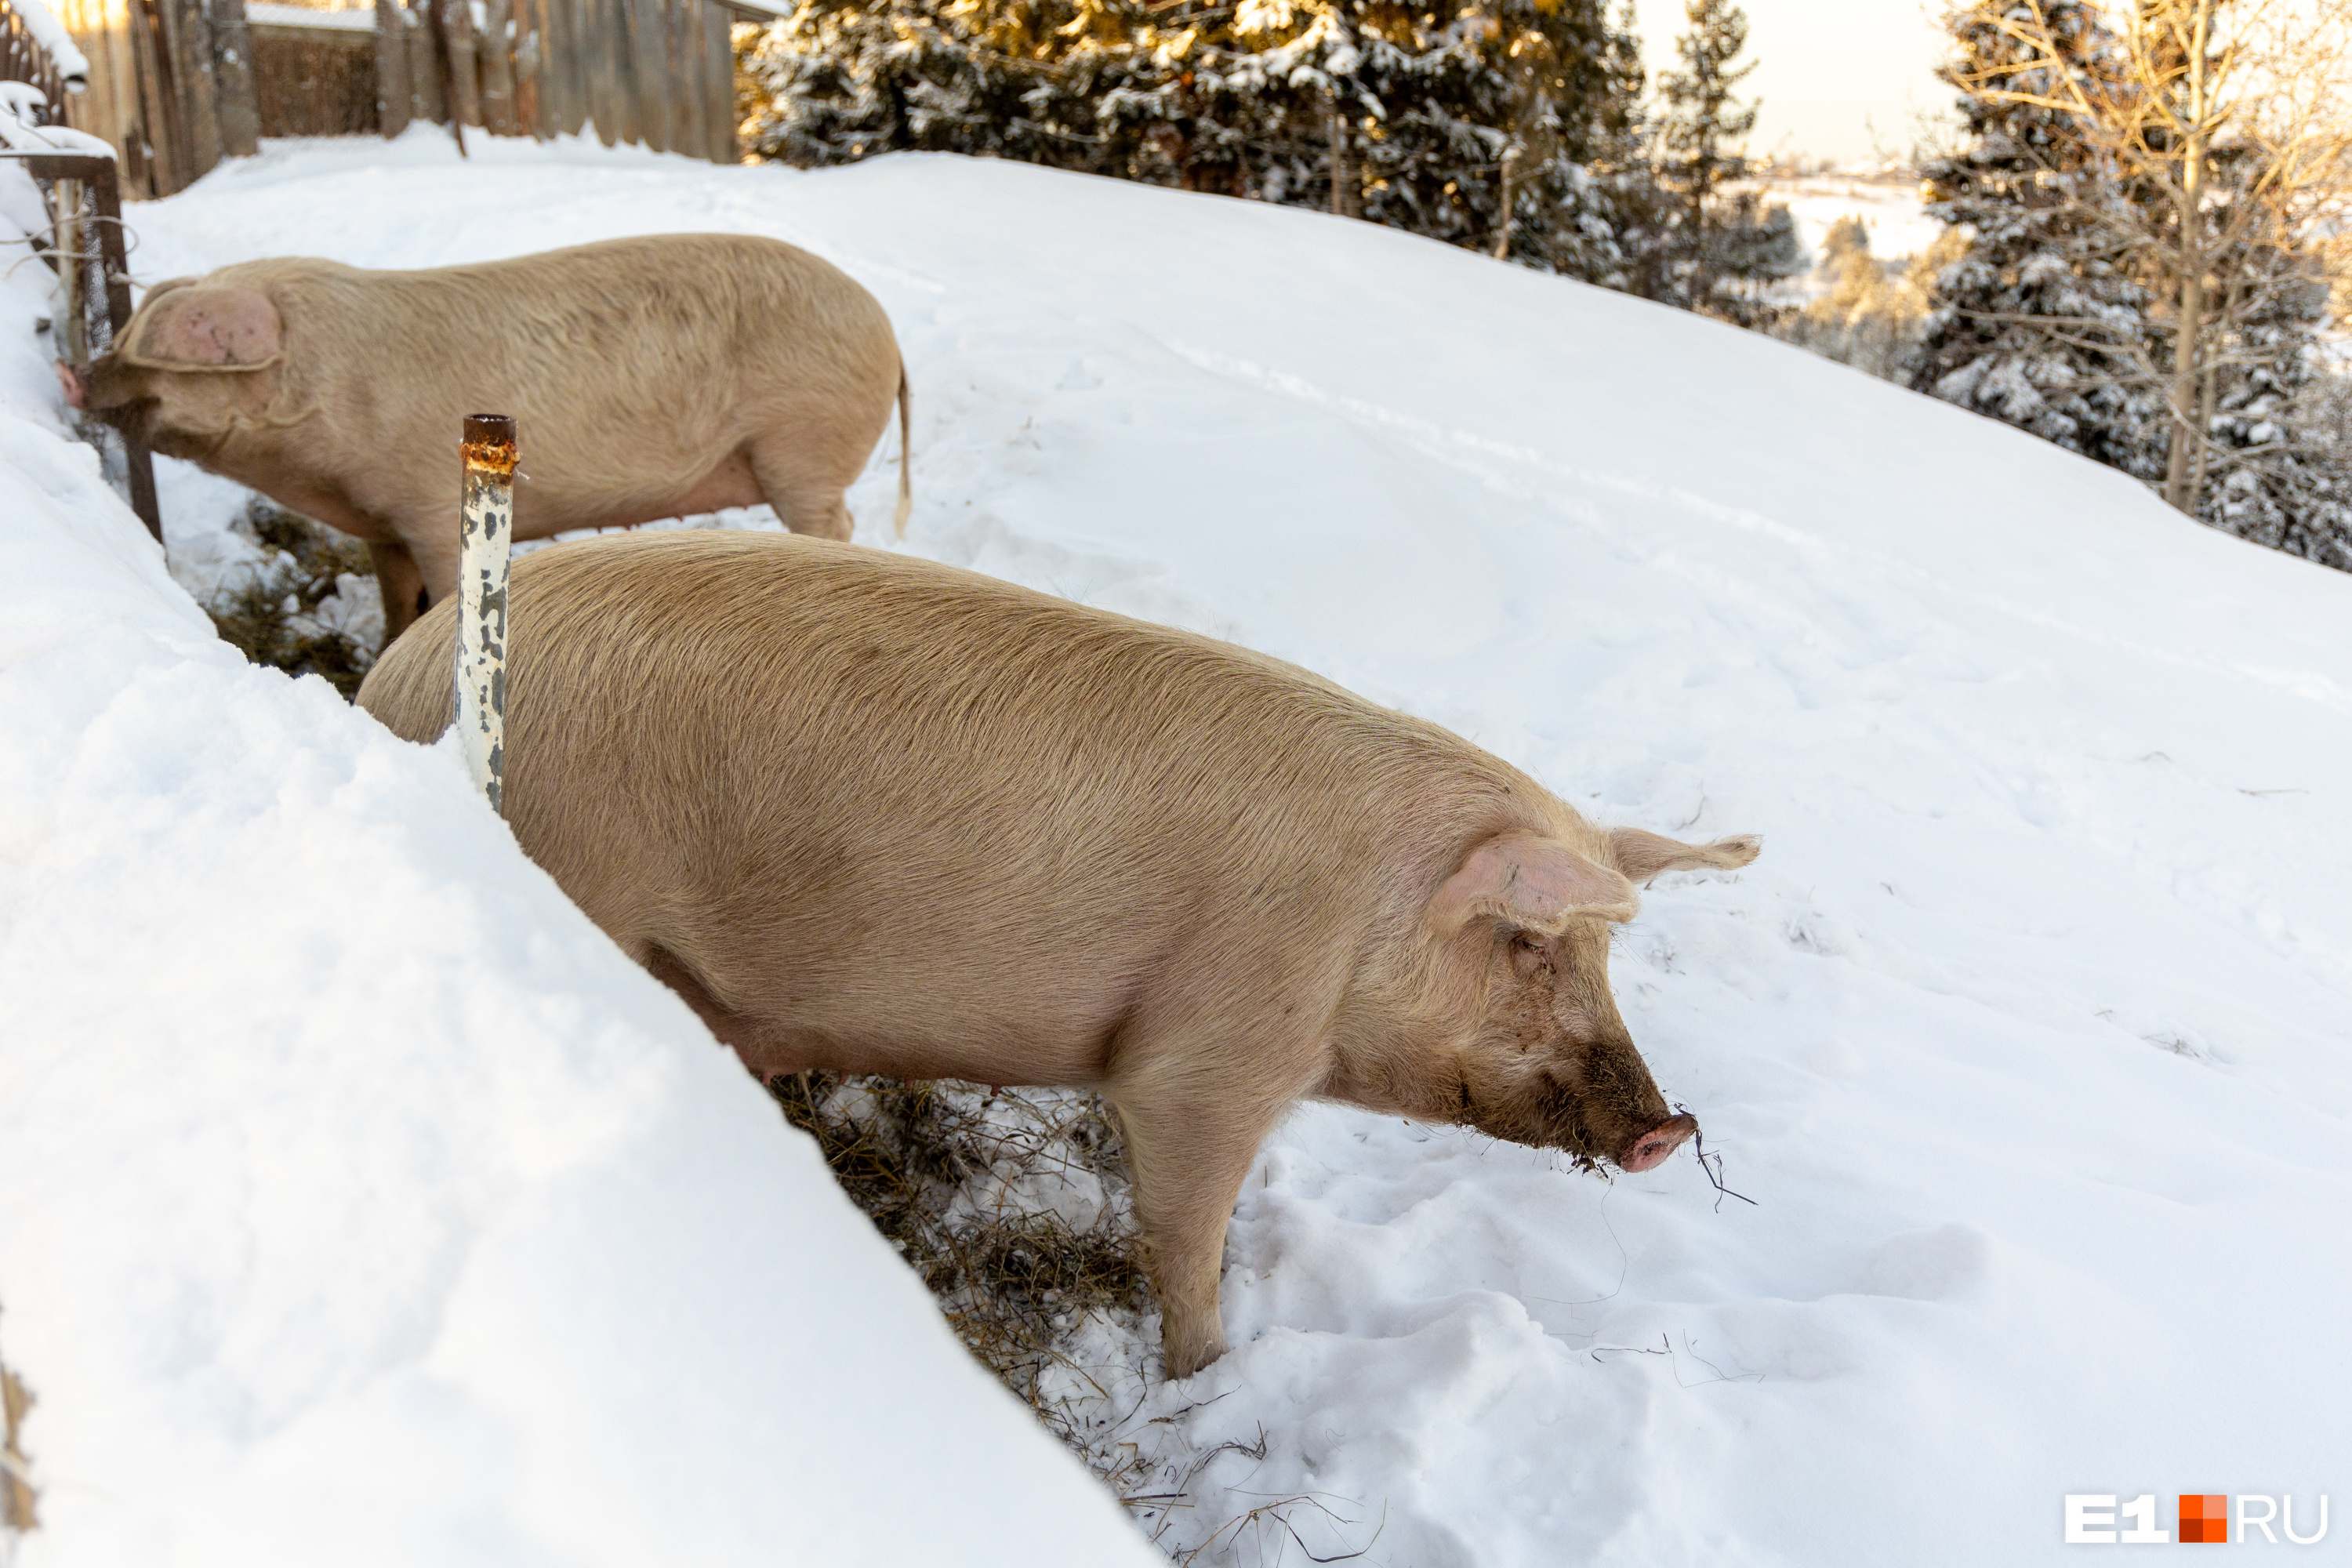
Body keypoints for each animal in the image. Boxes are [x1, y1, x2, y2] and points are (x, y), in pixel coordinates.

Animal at [64, 232, 908, 639]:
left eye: (162, 344)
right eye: (130, 333)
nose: (74, 372)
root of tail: (887, 329)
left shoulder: (431, 509)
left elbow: (444, 595)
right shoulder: (380, 526)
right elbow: (397, 602)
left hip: (803, 444)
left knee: (837, 521)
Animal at [358, 533, 1759, 1382]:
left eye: (1602, 957)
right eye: (1525, 943)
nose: (1668, 1127)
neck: (1358, 930)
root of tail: (393, 682)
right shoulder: (1204, 1060)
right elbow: (1184, 1229)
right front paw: (1209, 1371)